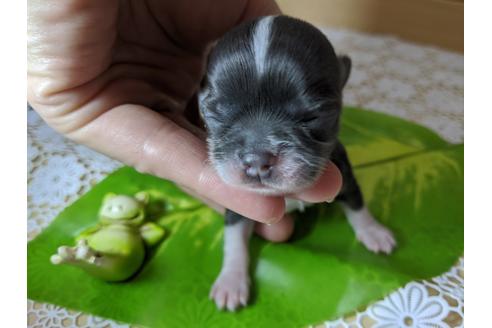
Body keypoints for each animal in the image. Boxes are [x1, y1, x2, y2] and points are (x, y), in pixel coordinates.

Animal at [198, 16, 394, 312]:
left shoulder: (345, 173)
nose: (257, 160)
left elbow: (357, 203)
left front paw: (373, 231)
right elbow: (234, 237)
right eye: (215, 111)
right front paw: (231, 281)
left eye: (314, 116)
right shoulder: (237, 200)